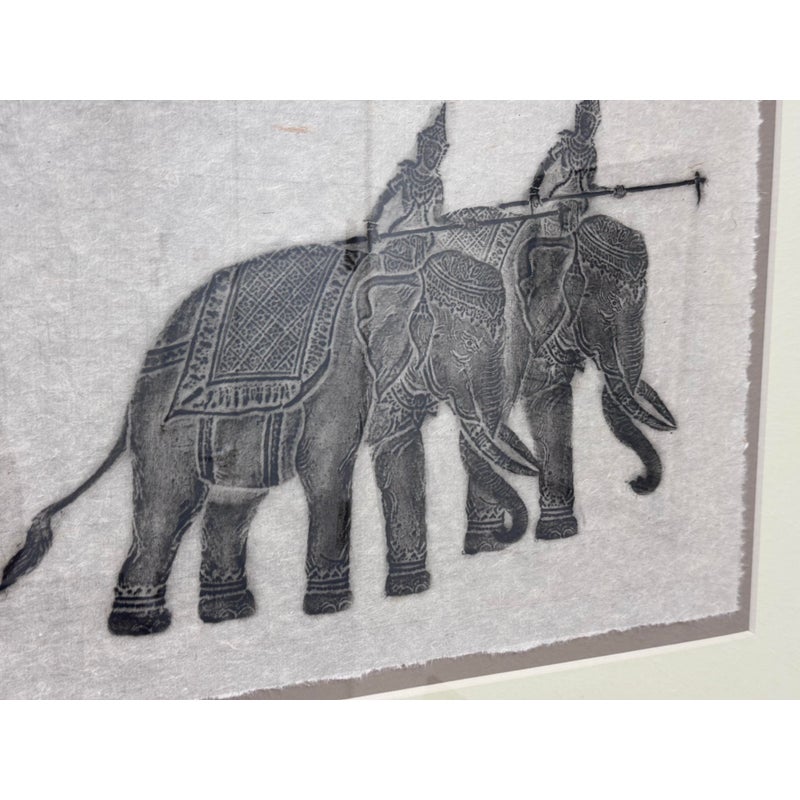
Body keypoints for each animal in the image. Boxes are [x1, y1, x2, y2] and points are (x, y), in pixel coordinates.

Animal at [0, 241, 538, 635]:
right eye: (464, 351)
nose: (502, 539)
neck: (400, 273)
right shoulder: (340, 373)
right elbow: (328, 468)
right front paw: (331, 610)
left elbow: (400, 458)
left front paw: (409, 593)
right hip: (165, 420)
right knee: (170, 503)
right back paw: (142, 629)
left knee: (233, 503)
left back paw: (228, 616)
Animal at [434, 210, 677, 550]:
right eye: (609, 310)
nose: (635, 481)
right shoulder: (504, 328)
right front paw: (487, 546)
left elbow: (551, 404)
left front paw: (557, 534)